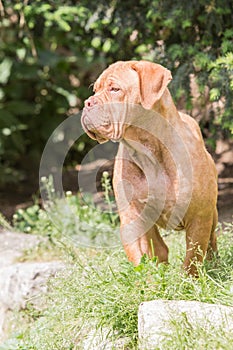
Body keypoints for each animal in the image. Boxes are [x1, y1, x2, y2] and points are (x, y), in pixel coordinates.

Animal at [81, 60, 218, 274]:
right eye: (95, 90)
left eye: (114, 89)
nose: (87, 103)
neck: (149, 152)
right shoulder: (133, 218)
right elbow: (141, 257)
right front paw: (148, 280)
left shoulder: (200, 216)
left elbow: (192, 259)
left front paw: (187, 280)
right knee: (160, 249)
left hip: (213, 213)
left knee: (212, 240)